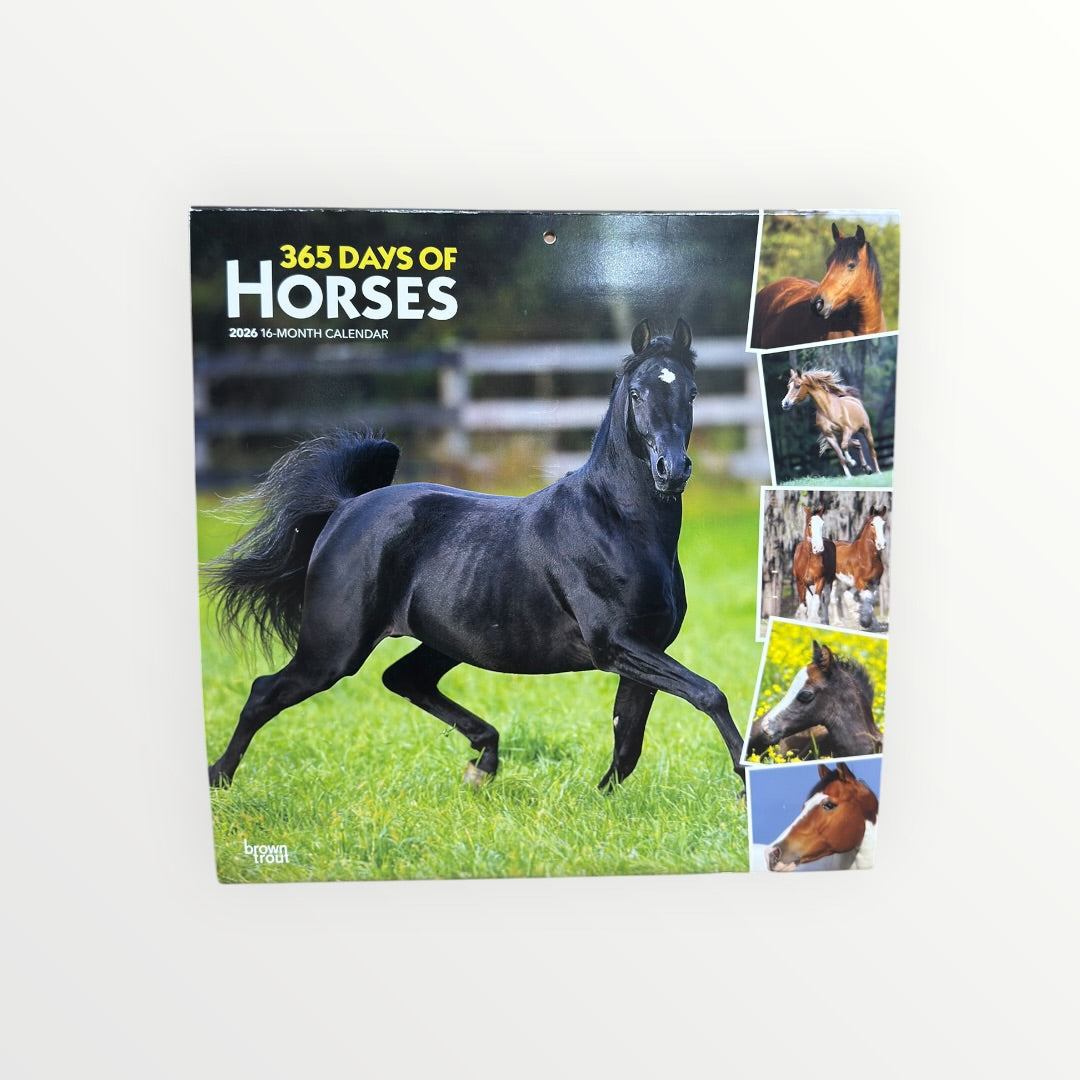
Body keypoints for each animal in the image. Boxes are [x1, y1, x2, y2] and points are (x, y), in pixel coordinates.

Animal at [203, 318, 747, 795]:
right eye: (637, 393)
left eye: (691, 393)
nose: (671, 469)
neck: (617, 522)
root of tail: (345, 507)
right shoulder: (615, 645)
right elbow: (708, 694)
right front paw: (747, 784)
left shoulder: (645, 647)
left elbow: (627, 742)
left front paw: (598, 800)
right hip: (333, 648)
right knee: (264, 692)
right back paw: (219, 779)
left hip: (443, 641)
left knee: (403, 679)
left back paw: (482, 765)